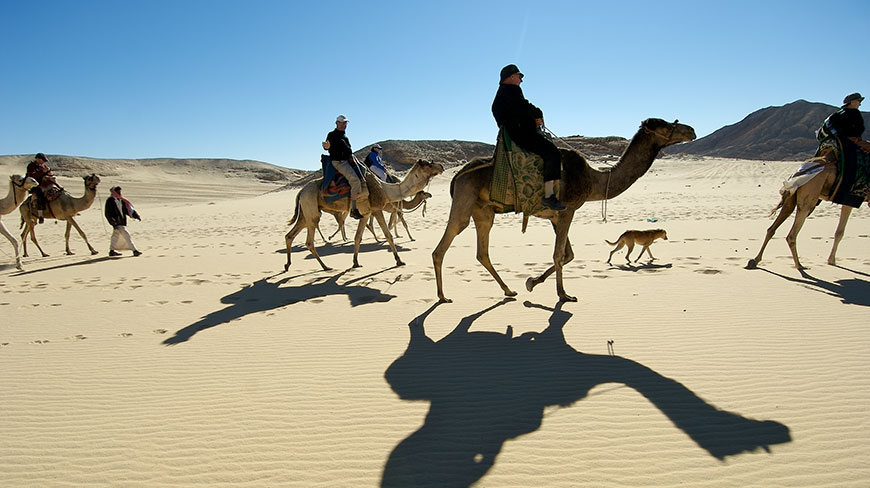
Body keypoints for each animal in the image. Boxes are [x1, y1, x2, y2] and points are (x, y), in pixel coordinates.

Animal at [284, 160, 443, 271]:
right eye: (428, 164)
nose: (441, 167)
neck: (386, 189)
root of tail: (301, 191)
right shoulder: (377, 209)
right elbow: (389, 234)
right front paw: (399, 260)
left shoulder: (366, 213)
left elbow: (358, 238)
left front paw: (355, 263)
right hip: (311, 208)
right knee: (310, 240)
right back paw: (325, 266)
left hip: (305, 213)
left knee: (290, 235)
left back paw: (287, 265)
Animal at [432, 118, 696, 302]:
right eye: (664, 124)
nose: (691, 130)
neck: (595, 180)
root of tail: (456, 176)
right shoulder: (568, 210)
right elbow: (560, 254)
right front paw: (563, 295)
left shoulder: (556, 217)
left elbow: (568, 255)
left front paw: (532, 282)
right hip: (465, 198)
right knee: (443, 246)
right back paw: (443, 297)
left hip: (484, 211)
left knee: (482, 252)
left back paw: (509, 290)